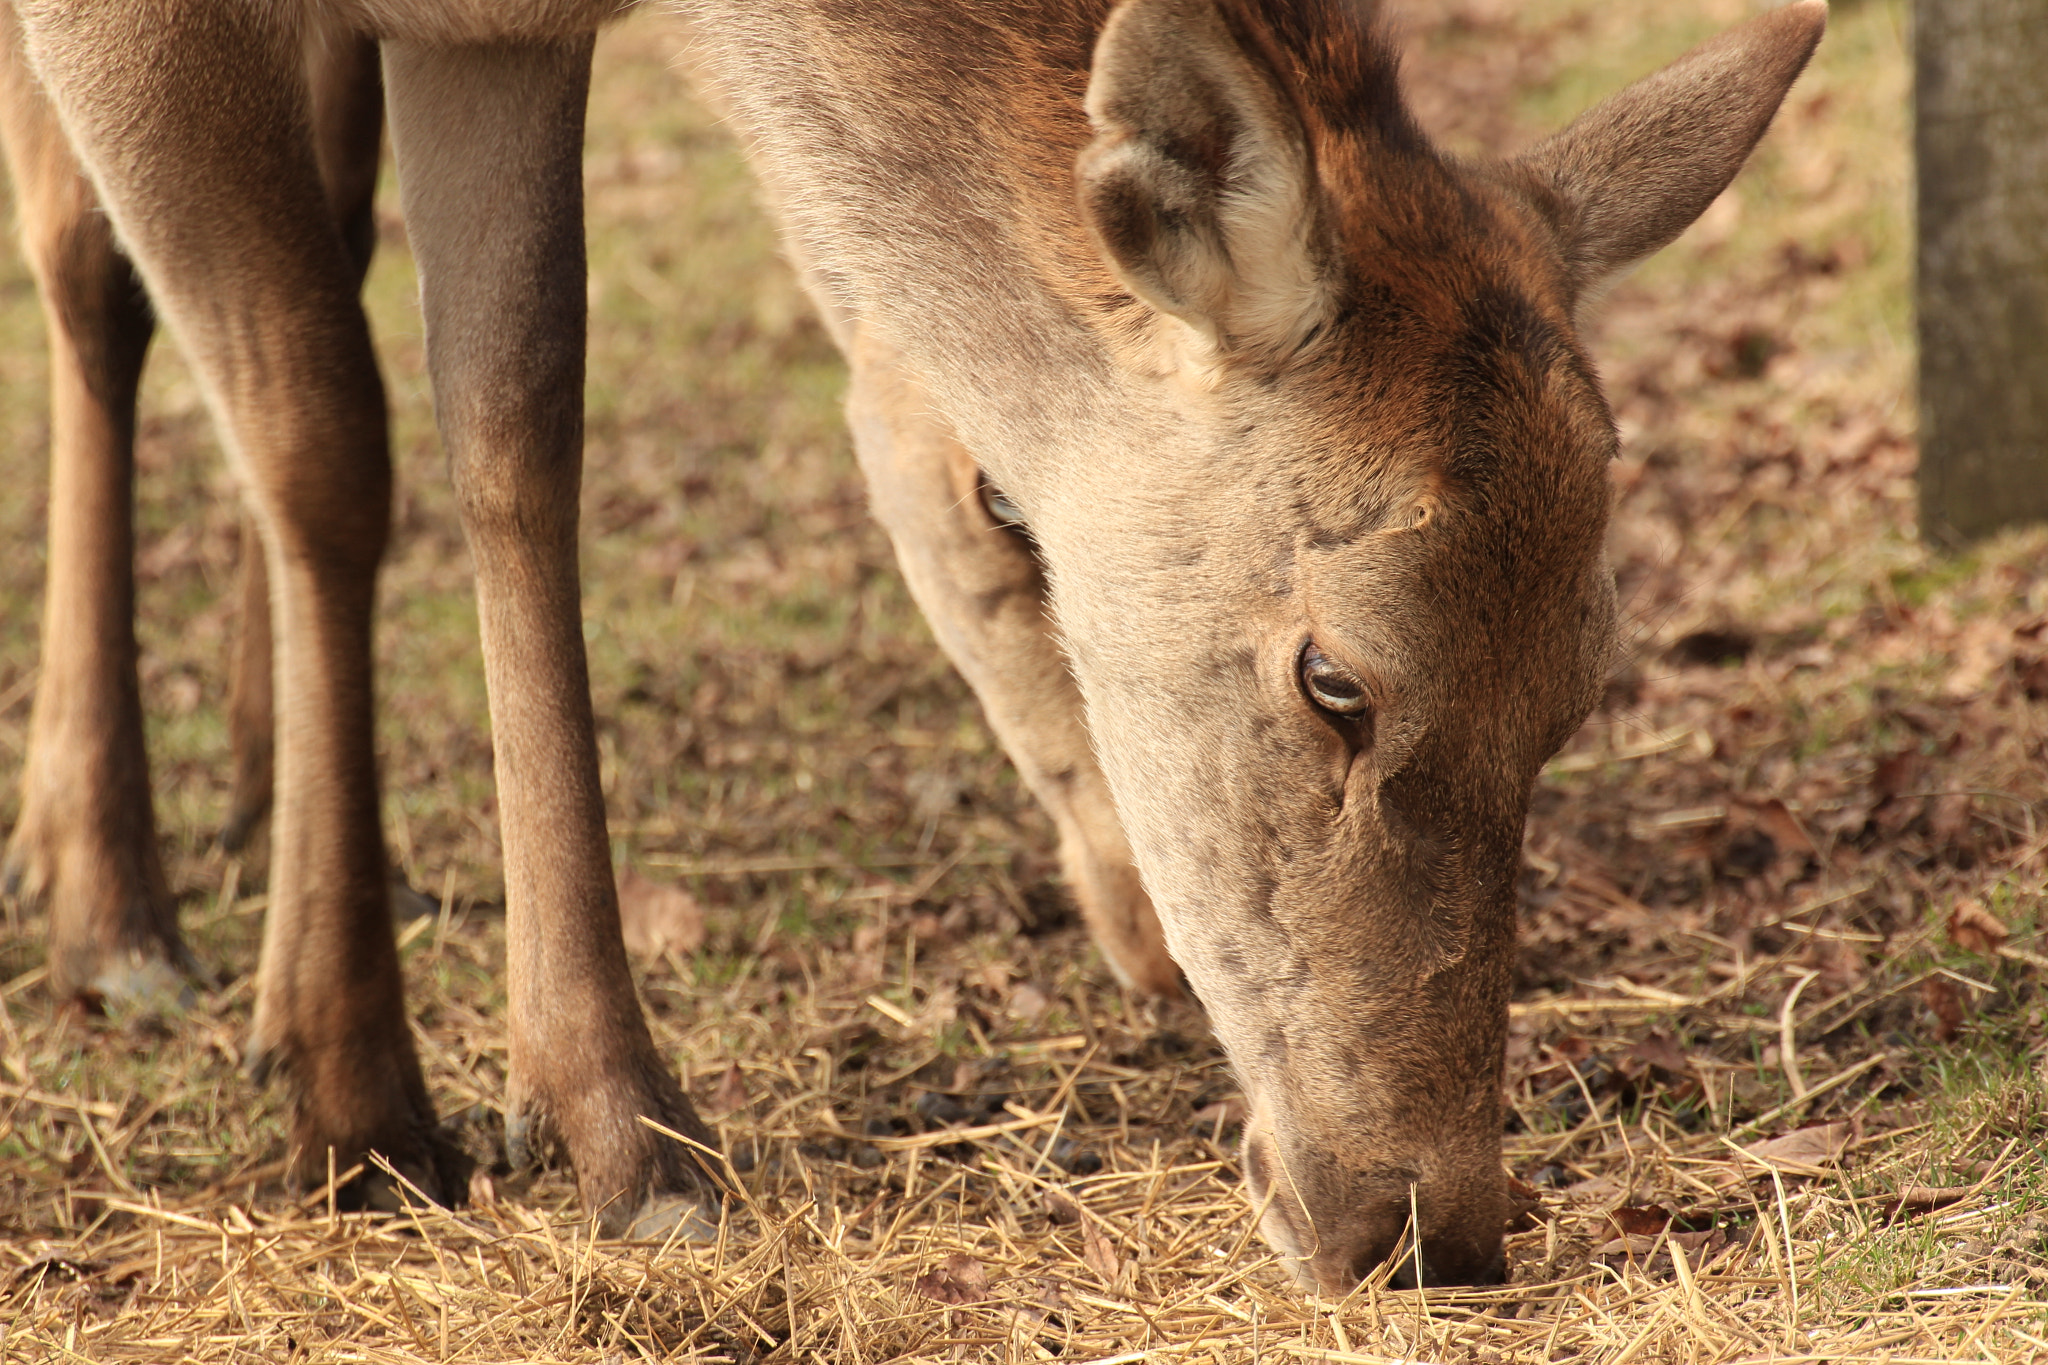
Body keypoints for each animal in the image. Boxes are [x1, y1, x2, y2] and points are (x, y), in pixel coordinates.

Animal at [0, 0, 1826, 1293]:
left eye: (1578, 685)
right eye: (1334, 676)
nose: (1427, 1224)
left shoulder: (496, 37)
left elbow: (514, 429)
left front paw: (619, 1135)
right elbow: (316, 438)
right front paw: (355, 1098)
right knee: (90, 265)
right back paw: (109, 896)